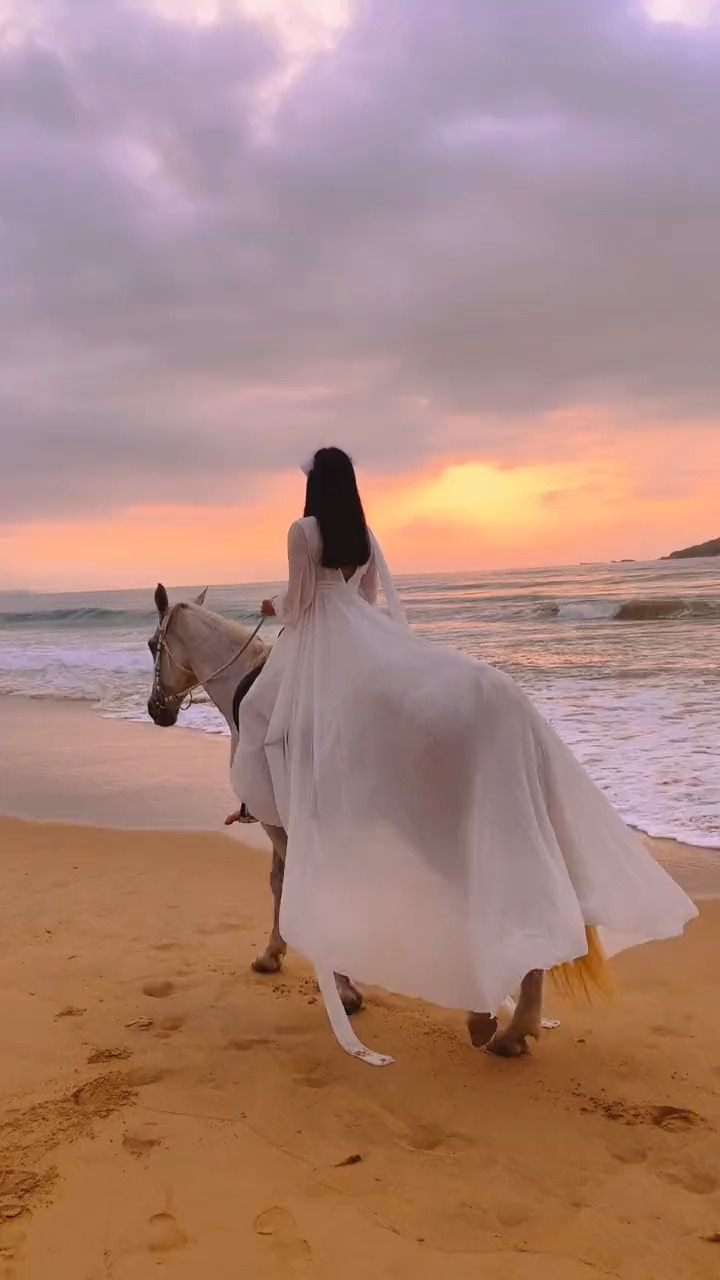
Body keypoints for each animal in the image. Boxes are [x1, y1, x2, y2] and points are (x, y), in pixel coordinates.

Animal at [145, 584, 570, 1057]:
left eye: (151, 645)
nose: (156, 709)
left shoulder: (280, 820)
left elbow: (290, 886)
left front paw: (339, 987)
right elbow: (290, 883)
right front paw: (277, 956)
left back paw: (503, 1023)